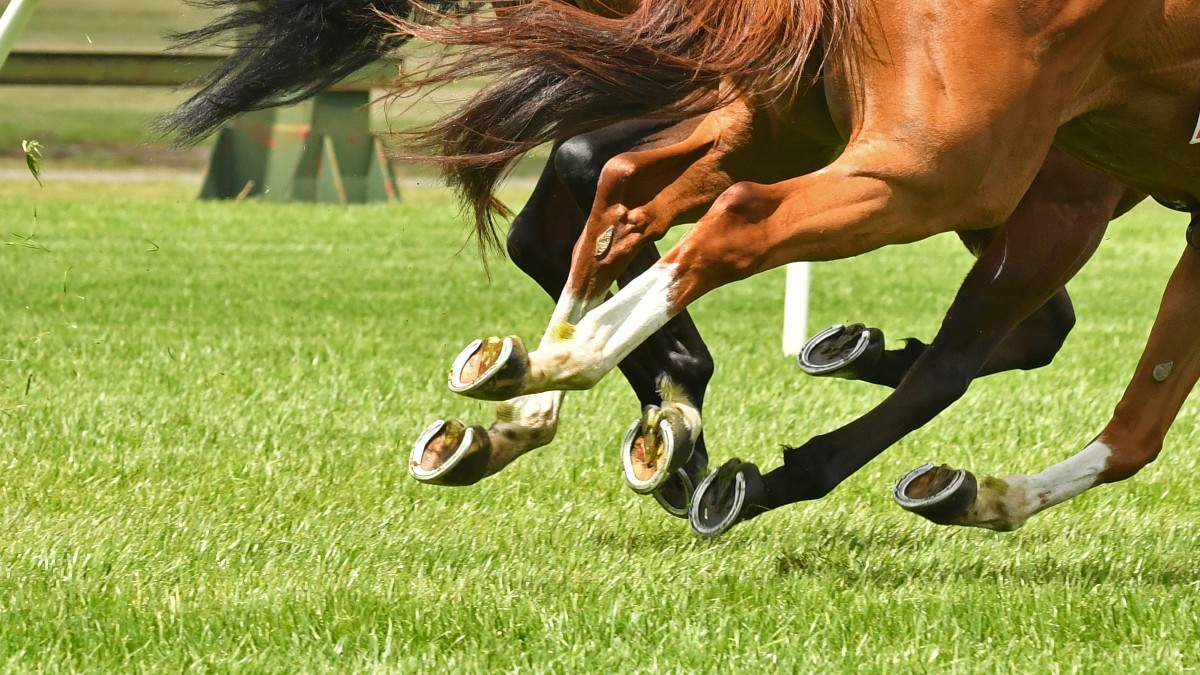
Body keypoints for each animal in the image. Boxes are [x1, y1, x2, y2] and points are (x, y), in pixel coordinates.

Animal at [381, 0, 1200, 536]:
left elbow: (1140, 421)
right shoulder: (1060, 198)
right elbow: (972, 364)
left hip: (786, 123)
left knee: (621, 190)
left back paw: (542, 384)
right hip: (941, 167)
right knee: (731, 218)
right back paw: (574, 371)